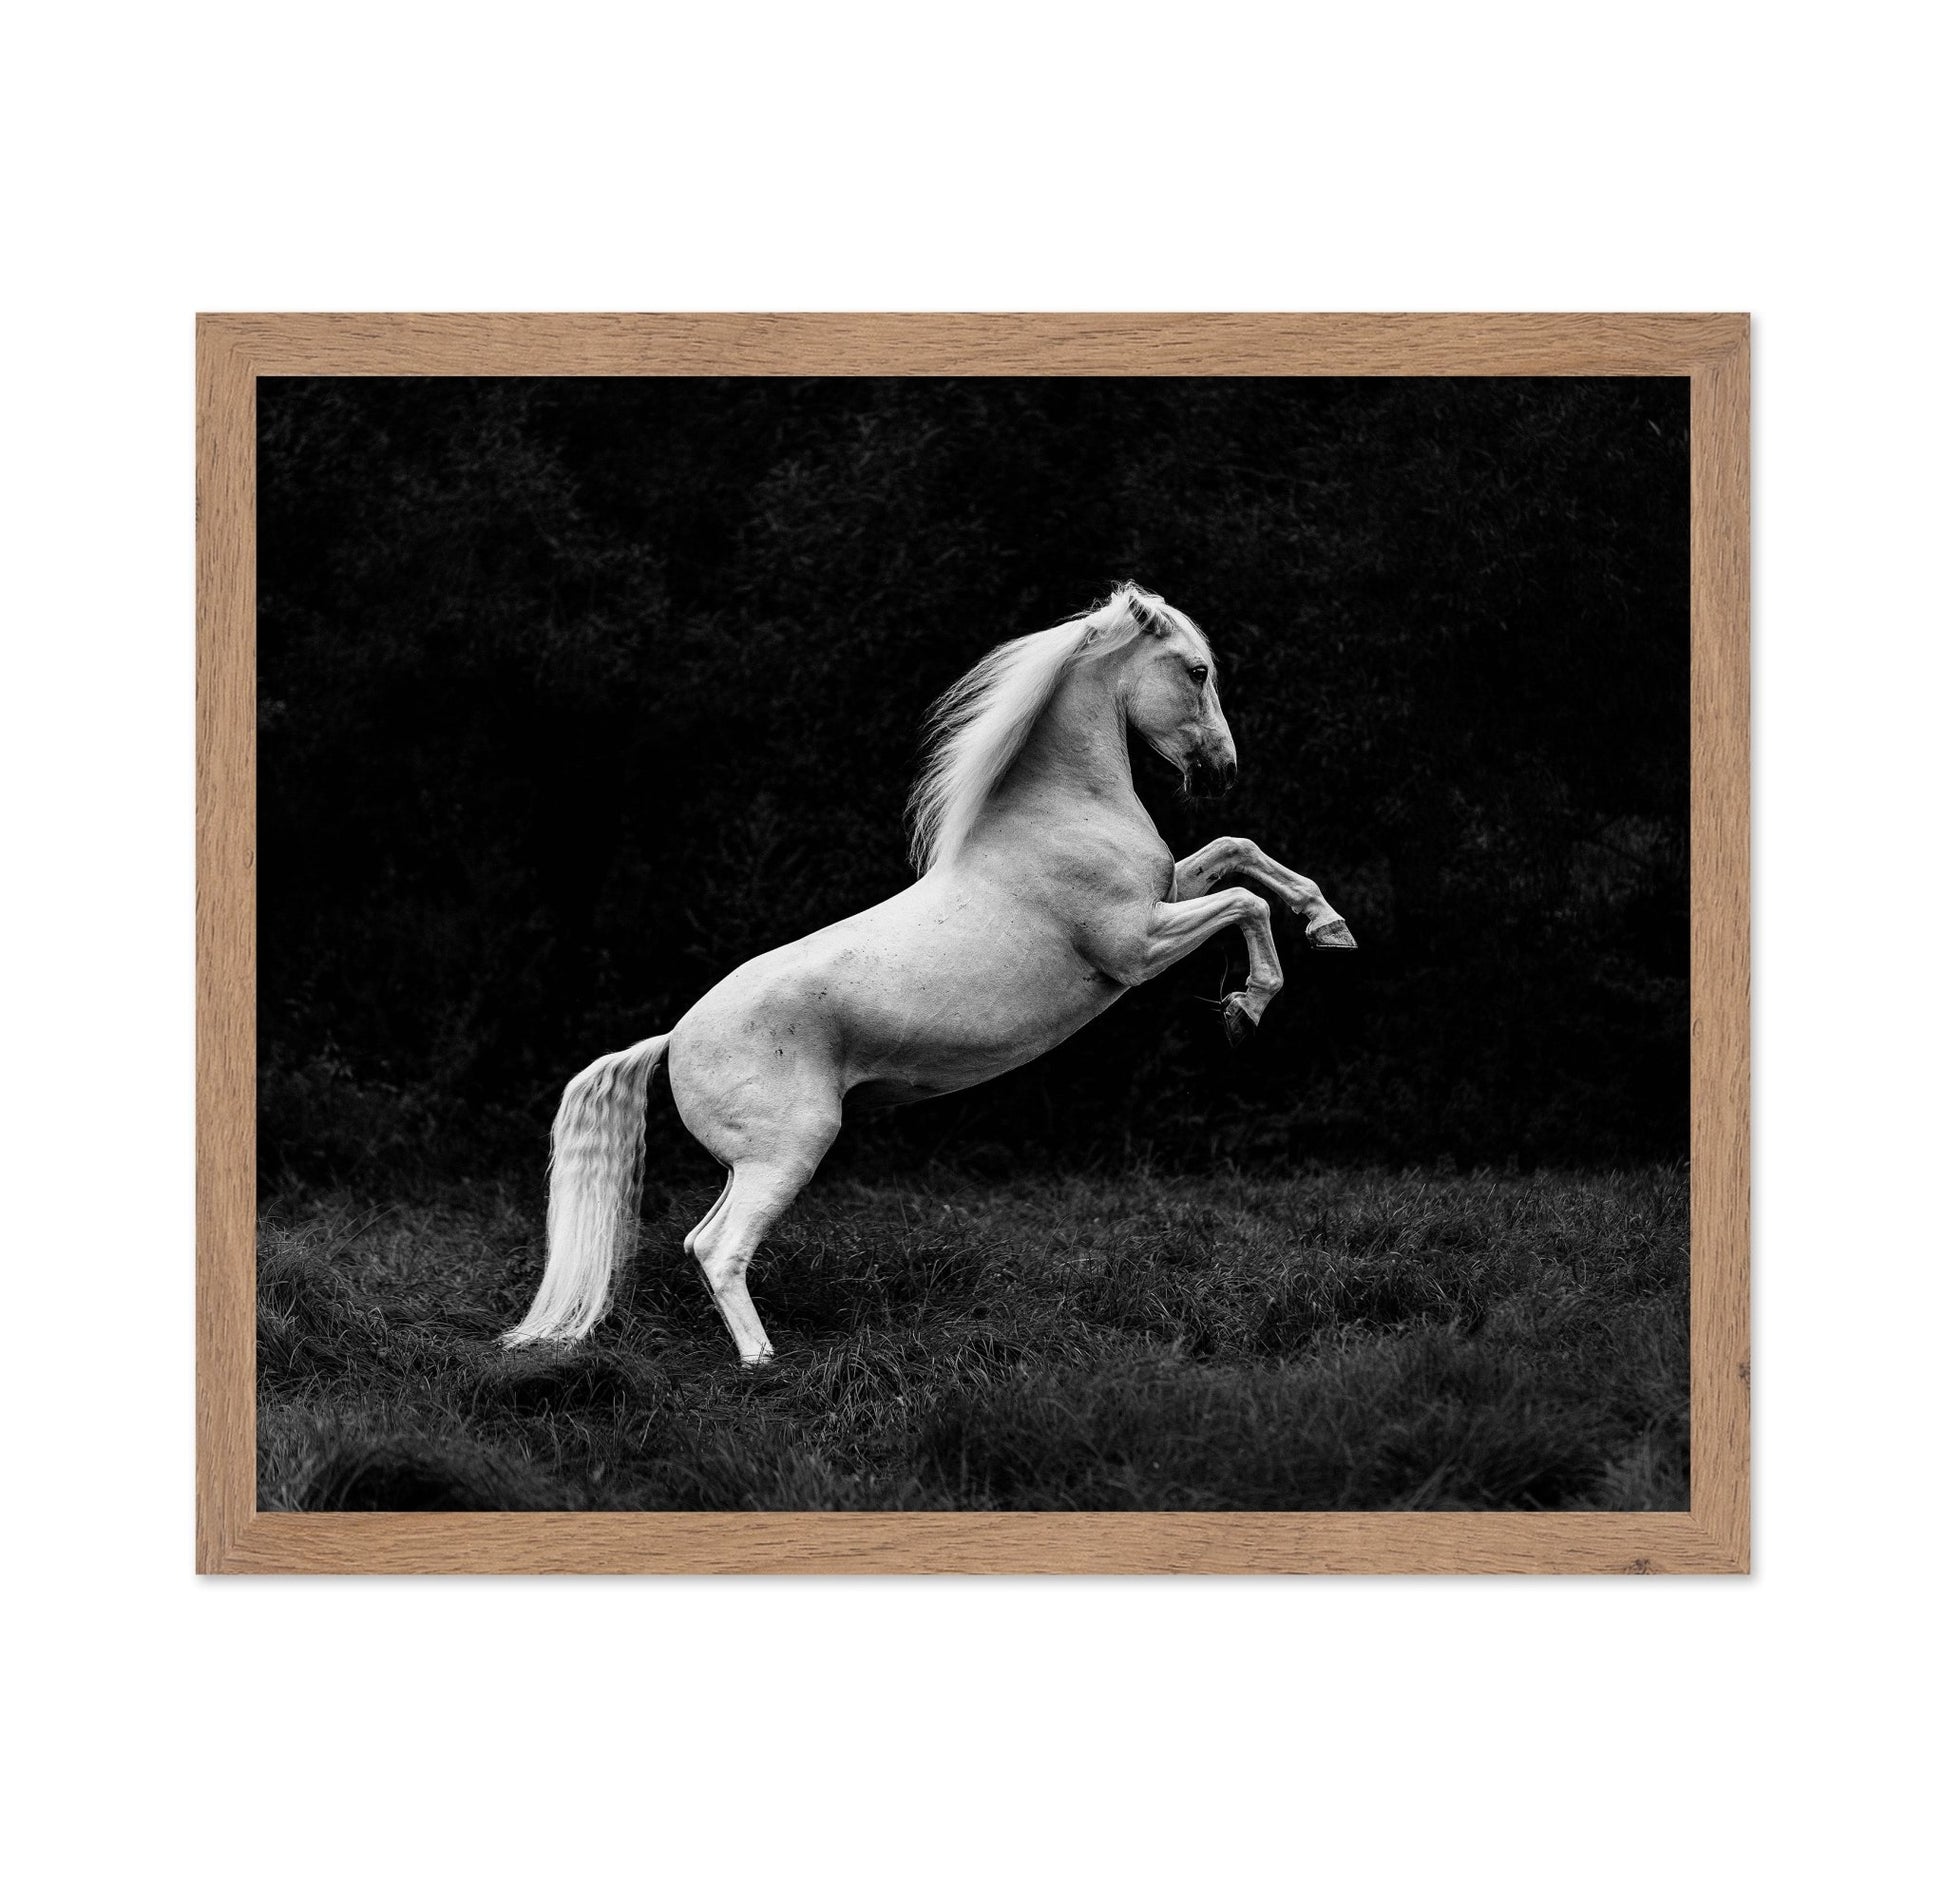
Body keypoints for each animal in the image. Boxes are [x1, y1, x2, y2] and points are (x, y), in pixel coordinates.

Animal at [502, 582, 1356, 1366]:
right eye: (1197, 669)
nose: (1223, 769)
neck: (1062, 814)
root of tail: (672, 1038)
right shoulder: (1137, 945)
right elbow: (1245, 900)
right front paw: (1249, 1005)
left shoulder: (1167, 893)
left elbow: (1239, 852)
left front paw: (1329, 926)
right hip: (788, 1150)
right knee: (719, 1248)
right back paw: (764, 1364)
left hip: (749, 1163)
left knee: (701, 1240)